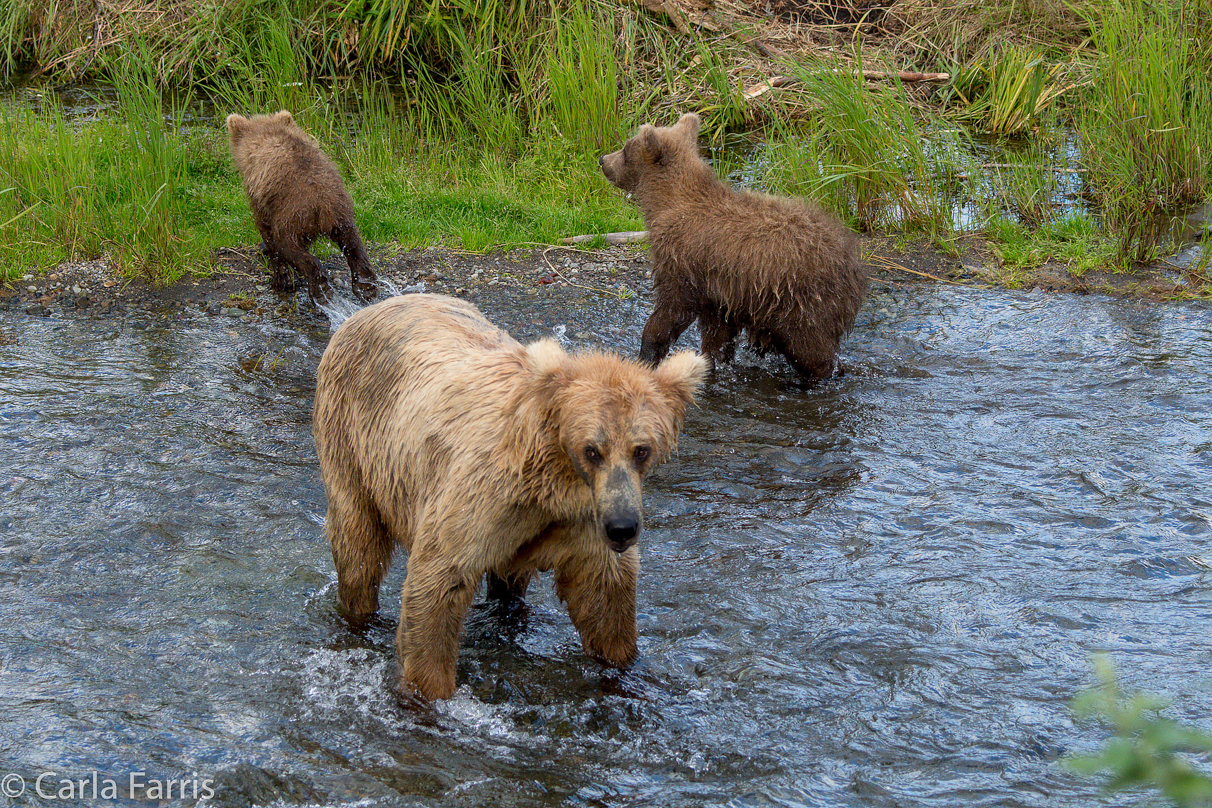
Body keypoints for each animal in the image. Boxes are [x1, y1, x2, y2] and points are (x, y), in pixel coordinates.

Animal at [225, 110, 375, 306]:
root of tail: (324, 205)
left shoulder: (261, 197)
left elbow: (266, 231)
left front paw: (282, 279)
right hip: (343, 214)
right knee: (353, 245)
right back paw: (366, 285)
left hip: (292, 217)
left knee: (290, 248)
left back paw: (321, 290)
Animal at [315, 294, 707, 697]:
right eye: (592, 450)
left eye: (641, 449)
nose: (623, 527)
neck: (550, 483)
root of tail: (374, 307)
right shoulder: (481, 499)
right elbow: (438, 582)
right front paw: (429, 689)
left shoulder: (580, 517)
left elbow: (604, 595)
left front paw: (624, 668)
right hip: (352, 439)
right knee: (358, 546)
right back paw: (358, 616)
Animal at [598, 112, 867, 380]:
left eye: (625, 148)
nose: (602, 160)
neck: (666, 203)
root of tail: (852, 261)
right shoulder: (721, 287)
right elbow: (718, 334)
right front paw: (713, 361)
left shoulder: (683, 259)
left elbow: (672, 310)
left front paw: (647, 352)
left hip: (804, 302)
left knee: (812, 350)